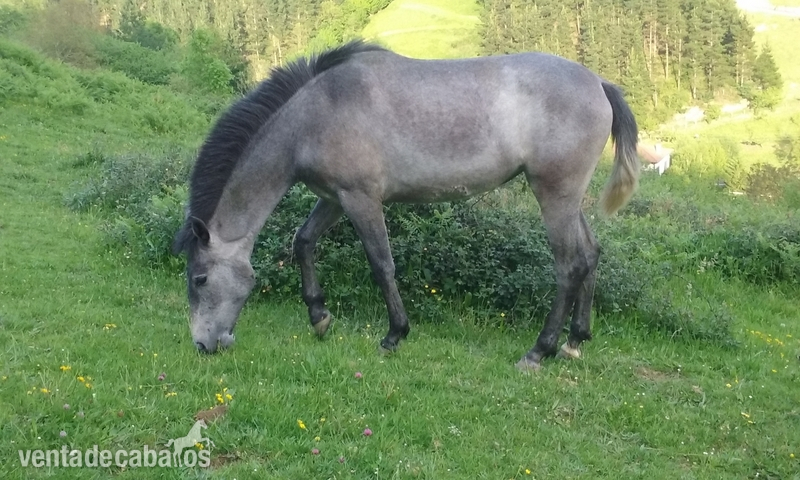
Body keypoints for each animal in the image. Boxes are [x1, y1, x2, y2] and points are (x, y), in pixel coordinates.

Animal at [172, 40, 639, 371]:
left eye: (199, 278)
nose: (202, 344)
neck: (315, 115)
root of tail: (599, 83)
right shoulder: (336, 199)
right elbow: (303, 242)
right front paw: (319, 316)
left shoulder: (362, 199)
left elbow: (382, 264)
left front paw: (394, 335)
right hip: (568, 199)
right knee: (590, 255)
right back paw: (575, 342)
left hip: (554, 195)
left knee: (569, 266)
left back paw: (539, 351)